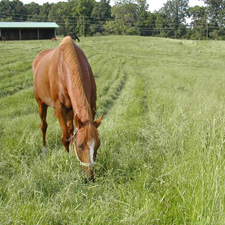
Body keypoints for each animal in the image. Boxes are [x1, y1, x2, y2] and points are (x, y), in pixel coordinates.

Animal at [32, 37, 103, 181]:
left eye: (98, 144)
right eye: (80, 145)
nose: (89, 177)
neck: (65, 67)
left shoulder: (91, 105)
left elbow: (71, 132)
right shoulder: (60, 107)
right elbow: (65, 136)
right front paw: (67, 156)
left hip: (71, 110)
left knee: (70, 128)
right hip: (41, 103)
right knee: (44, 125)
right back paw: (44, 148)